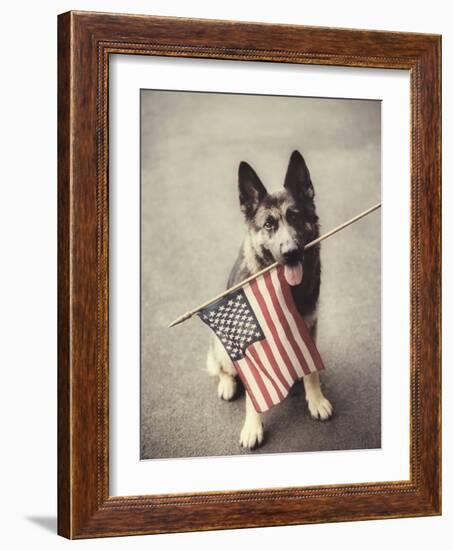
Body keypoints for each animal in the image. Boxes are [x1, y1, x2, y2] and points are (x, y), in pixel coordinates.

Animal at [207, 150, 330, 448]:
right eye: (268, 225)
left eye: (295, 217)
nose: (291, 252)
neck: (286, 289)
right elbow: (254, 392)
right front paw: (253, 426)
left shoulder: (308, 327)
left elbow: (311, 371)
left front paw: (316, 398)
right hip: (223, 349)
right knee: (223, 369)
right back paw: (227, 384)